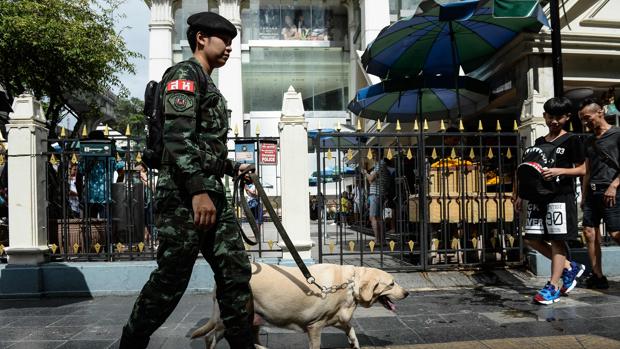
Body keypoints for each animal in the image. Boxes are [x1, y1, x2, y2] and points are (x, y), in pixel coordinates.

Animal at [191, 260, 410, 348]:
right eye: (392, 283)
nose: (407, 293)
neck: (349, 284)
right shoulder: (315, 326)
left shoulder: (338, 318)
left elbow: (351, 330)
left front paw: (354, 343)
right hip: (229, 317)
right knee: (210, 337)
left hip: (253, 317)